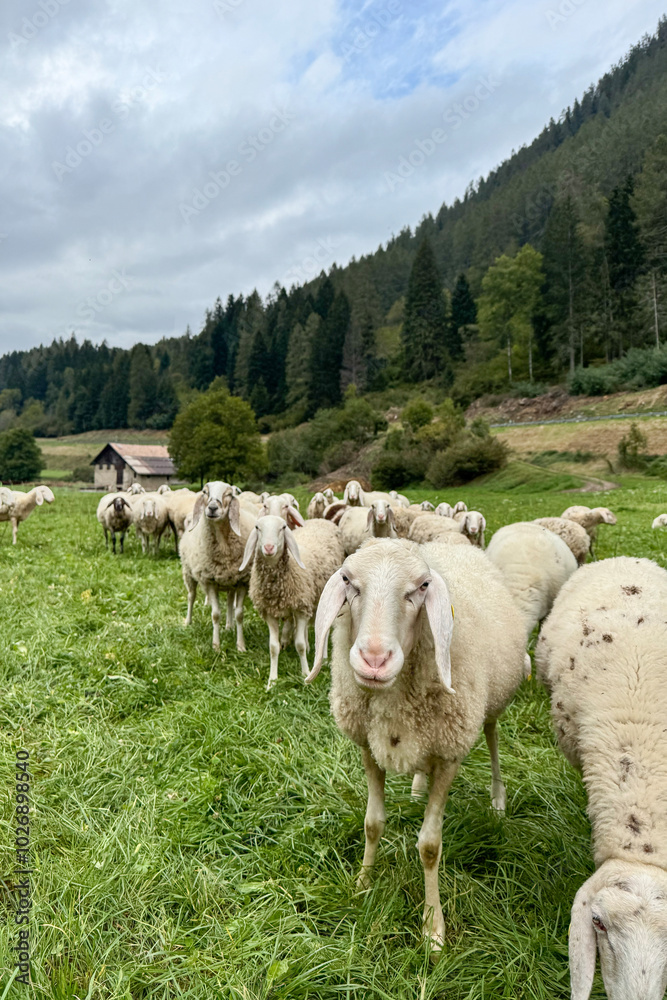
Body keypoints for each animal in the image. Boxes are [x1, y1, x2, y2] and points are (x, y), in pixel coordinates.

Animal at [179, 481, 257, 652]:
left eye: (229, 494)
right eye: (204, 492)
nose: (213, 507)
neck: (223, 544)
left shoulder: (242, 581)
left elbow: (239, 614)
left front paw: (241, 646)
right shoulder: (210, 581)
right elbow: (215, 614)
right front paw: (216, 646)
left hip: (230, 581)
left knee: (229, 603)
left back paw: (229, 626)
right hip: (188, 573)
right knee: (191, 596)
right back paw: (188, 621)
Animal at [239, 515, 344, 688]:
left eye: (283, 527)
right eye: (257, 527)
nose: (268, 548)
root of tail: (320, 519)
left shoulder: (300, 608)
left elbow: (299, 644)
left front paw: (306, 674)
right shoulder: (269, 613)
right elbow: (273, 647)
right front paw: (272, 680)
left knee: (325, 628)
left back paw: (324, 658)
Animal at [306, 539, 526, 950]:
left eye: (422, 586)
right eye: (347, 580)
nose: (374, 659)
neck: (394, 703)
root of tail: (453, 543)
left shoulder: (450, 754)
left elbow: (429, 846)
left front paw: (433, 928)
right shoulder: (369, 746)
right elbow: (372, 824)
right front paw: (363, 884)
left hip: (489, 704)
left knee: (492, 737)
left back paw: (498, 799)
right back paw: (417, 787)